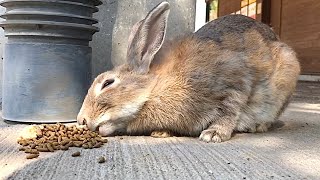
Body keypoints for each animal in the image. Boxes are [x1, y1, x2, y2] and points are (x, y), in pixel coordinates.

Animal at [77, 1, 300, 142]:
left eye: (108, 83)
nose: (82, 120)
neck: (154, 89)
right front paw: (161, 133)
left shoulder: (235, 81)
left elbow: (229, 111)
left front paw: (213, 134)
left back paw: (257, 126)